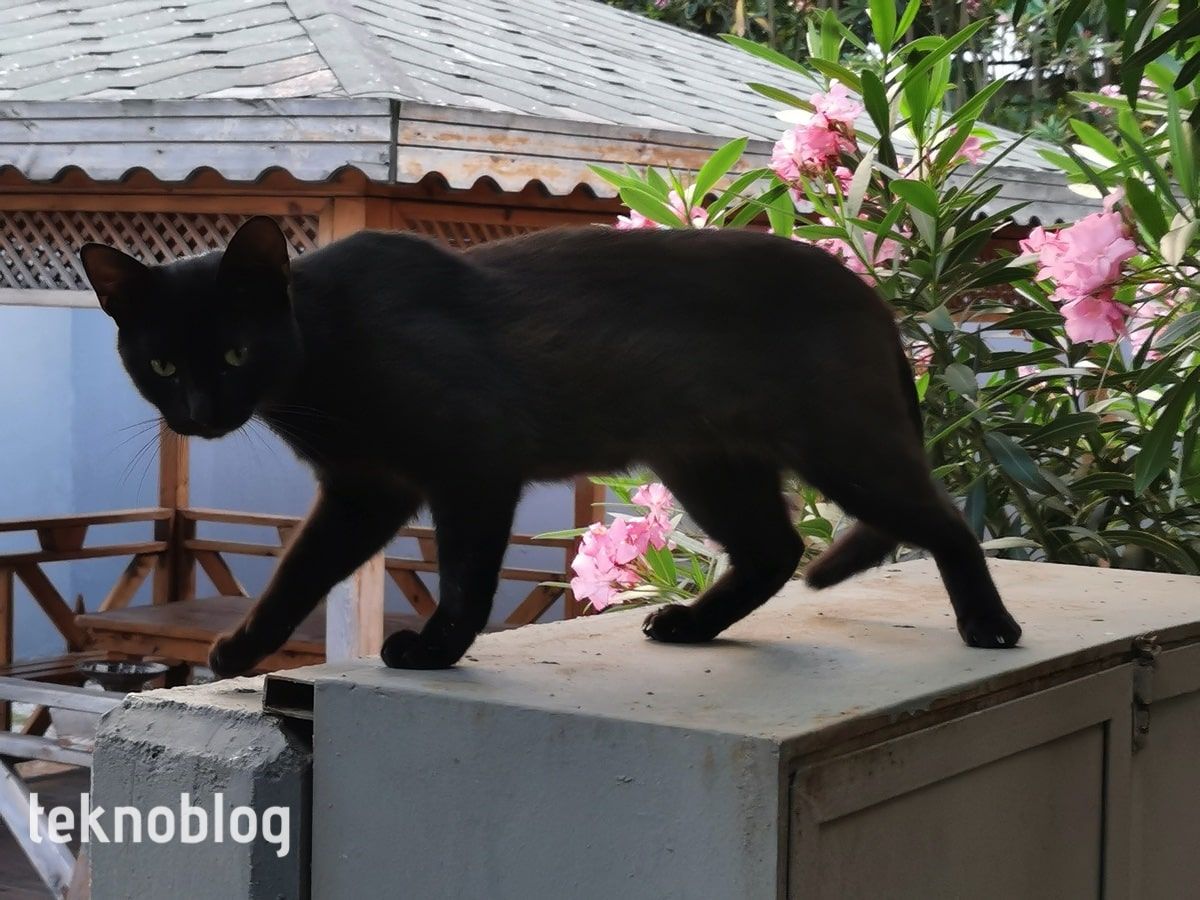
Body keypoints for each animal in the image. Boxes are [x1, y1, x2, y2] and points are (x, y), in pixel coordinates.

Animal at [80, 216, 1021, 677]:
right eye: (162, 364)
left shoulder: (471, 468)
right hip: (706, 463)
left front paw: (433, 651)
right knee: (774, 549)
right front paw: (240, 652)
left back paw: (989, 624)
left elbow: (466, 581)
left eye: (237, 352)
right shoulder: (365, 491)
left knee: (947, 521)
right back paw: (691, 625)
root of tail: (875, 300)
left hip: (842, 448)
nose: (200, 412)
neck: (328, 357)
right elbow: (295, 576)